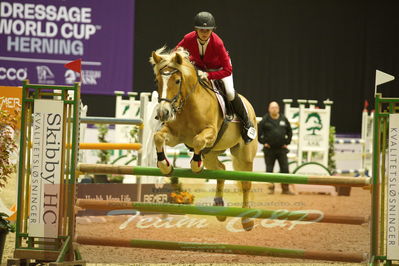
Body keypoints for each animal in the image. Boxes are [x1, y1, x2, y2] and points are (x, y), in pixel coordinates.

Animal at [150, 46, 260, 230]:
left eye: (177, 81)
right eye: (157, 81)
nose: (163, 112)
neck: (188, 104)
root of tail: (249, 105)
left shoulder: (211, 132)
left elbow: (198, 140)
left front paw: (196, 165)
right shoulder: (174, 135)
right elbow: (158, 137)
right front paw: (165, 166)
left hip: (244, 154)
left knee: (246, 183)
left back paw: (247, 220)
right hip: (211, 154)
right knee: (221, 169)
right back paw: (219, 206)